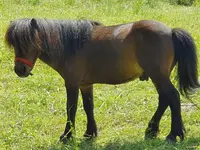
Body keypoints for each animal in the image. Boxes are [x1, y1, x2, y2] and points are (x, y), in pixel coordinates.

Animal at [4, 18, 200, 142]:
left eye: (29, 41)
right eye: (14, 44)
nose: (20, 70)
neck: (71, 44)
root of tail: (171, 31)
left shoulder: (72, 84)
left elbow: (71, 109)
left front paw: (67, 136)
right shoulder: (85, 85)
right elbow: (88, 107)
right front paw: (90, 133)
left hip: (158, 75)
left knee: (173, 97)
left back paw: (173, 135)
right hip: (156, 77)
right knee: (164, 99)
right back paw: (151, 130)